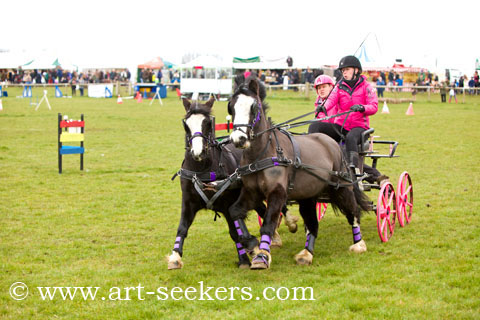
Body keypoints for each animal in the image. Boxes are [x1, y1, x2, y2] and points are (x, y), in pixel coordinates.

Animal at [227, 76, 370, 268]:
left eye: (253, 107)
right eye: (231, 106)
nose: (239, 139)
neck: (262, 154)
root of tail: (333, 143)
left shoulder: (277, 193)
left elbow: (268, 224)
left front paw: (262, 255)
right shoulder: (252, 193)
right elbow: (235, 211)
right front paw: (251, 244)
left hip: (342, 188)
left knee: (353, 212)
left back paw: (359, 244)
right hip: (308, 195)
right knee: (312, 224)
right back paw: (307, 253)